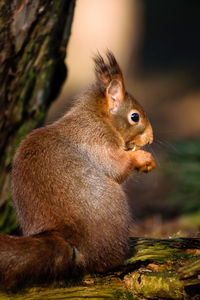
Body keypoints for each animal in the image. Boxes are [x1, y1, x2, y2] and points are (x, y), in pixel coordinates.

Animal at [0, 51, 155, 290]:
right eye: (134, 117)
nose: (151, 138)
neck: (97, 117)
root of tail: (72, 243)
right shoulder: (96, 140)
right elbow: (116, 166)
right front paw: (141, 158)